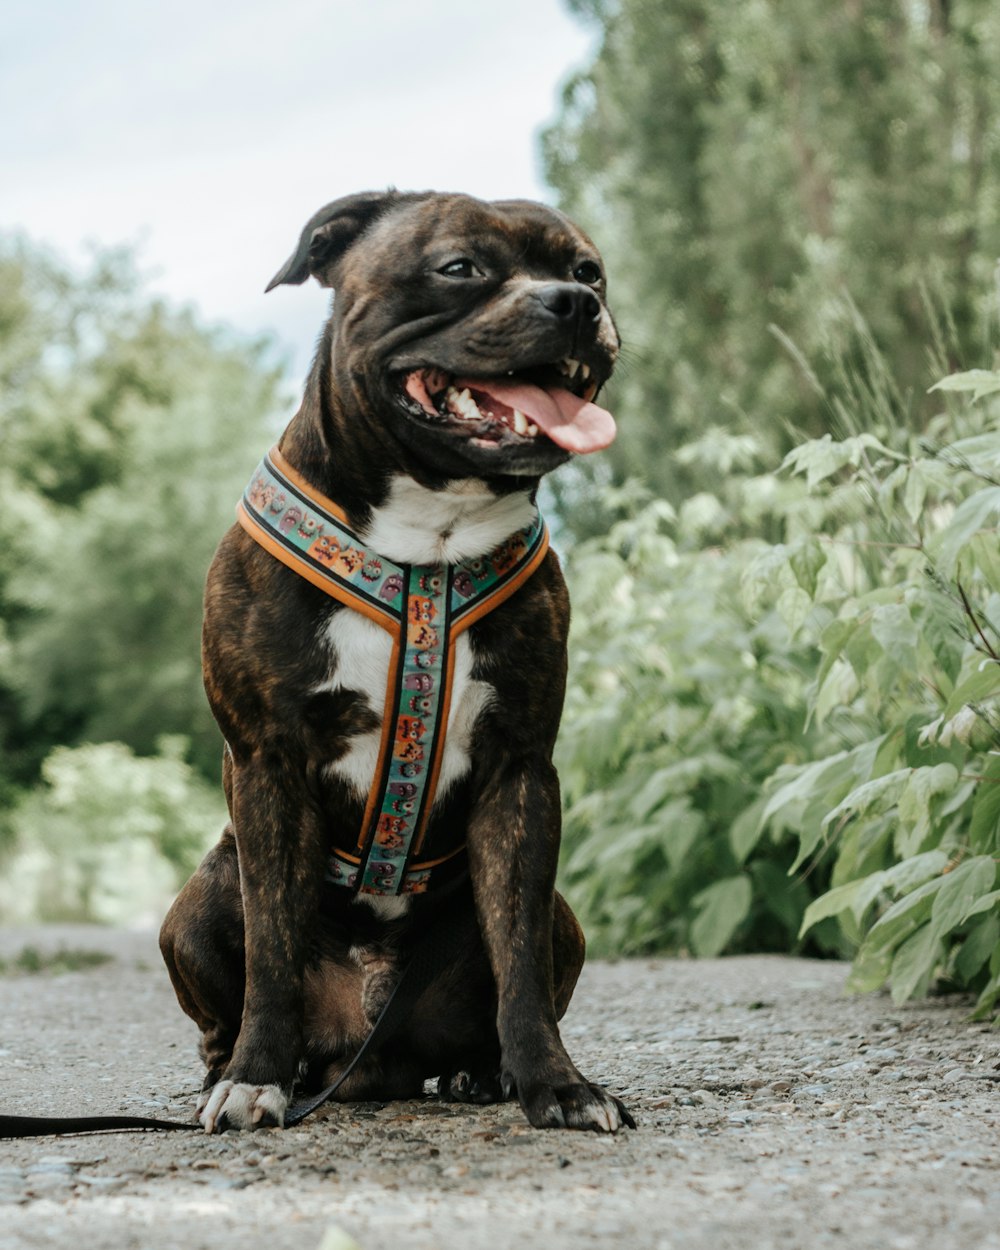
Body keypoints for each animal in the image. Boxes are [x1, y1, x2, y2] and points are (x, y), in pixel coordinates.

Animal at [160, 190, 637, 1140]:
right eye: (459, 268)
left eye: (588, 271)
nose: (573, 303)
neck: (428, 542)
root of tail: (362, 1051)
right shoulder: (267, 765)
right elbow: (272, 949)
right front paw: (254, 1080)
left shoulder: (520, 775)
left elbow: (520, 966)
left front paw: (557, 1086)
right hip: (195, 905)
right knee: (228, 991)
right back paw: (231, 1072)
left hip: (563, 920)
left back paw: (482, 1073)